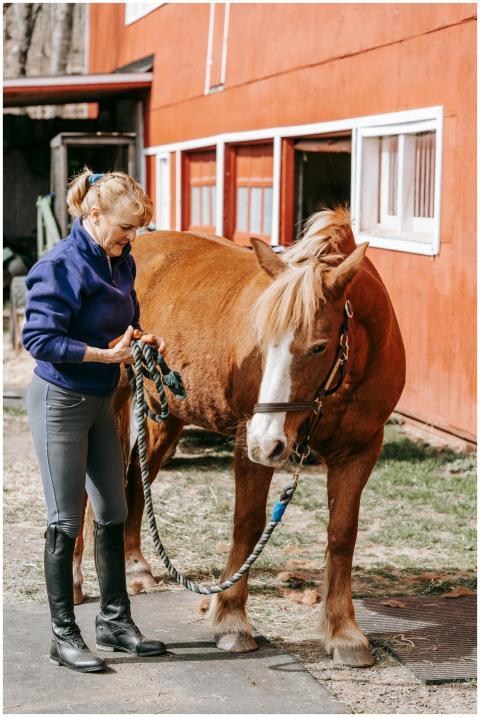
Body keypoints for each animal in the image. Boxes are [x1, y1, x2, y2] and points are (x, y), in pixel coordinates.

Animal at [76, 207, 405, 667]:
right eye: (262, 340)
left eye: (319, 347)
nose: (268, 442)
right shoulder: (247, 441)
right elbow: (247, 523)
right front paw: (231, 621)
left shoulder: (360, 450)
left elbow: (342, 535)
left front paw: (343, 632)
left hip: (165, 420)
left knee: (134, 483)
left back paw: (136, 566)